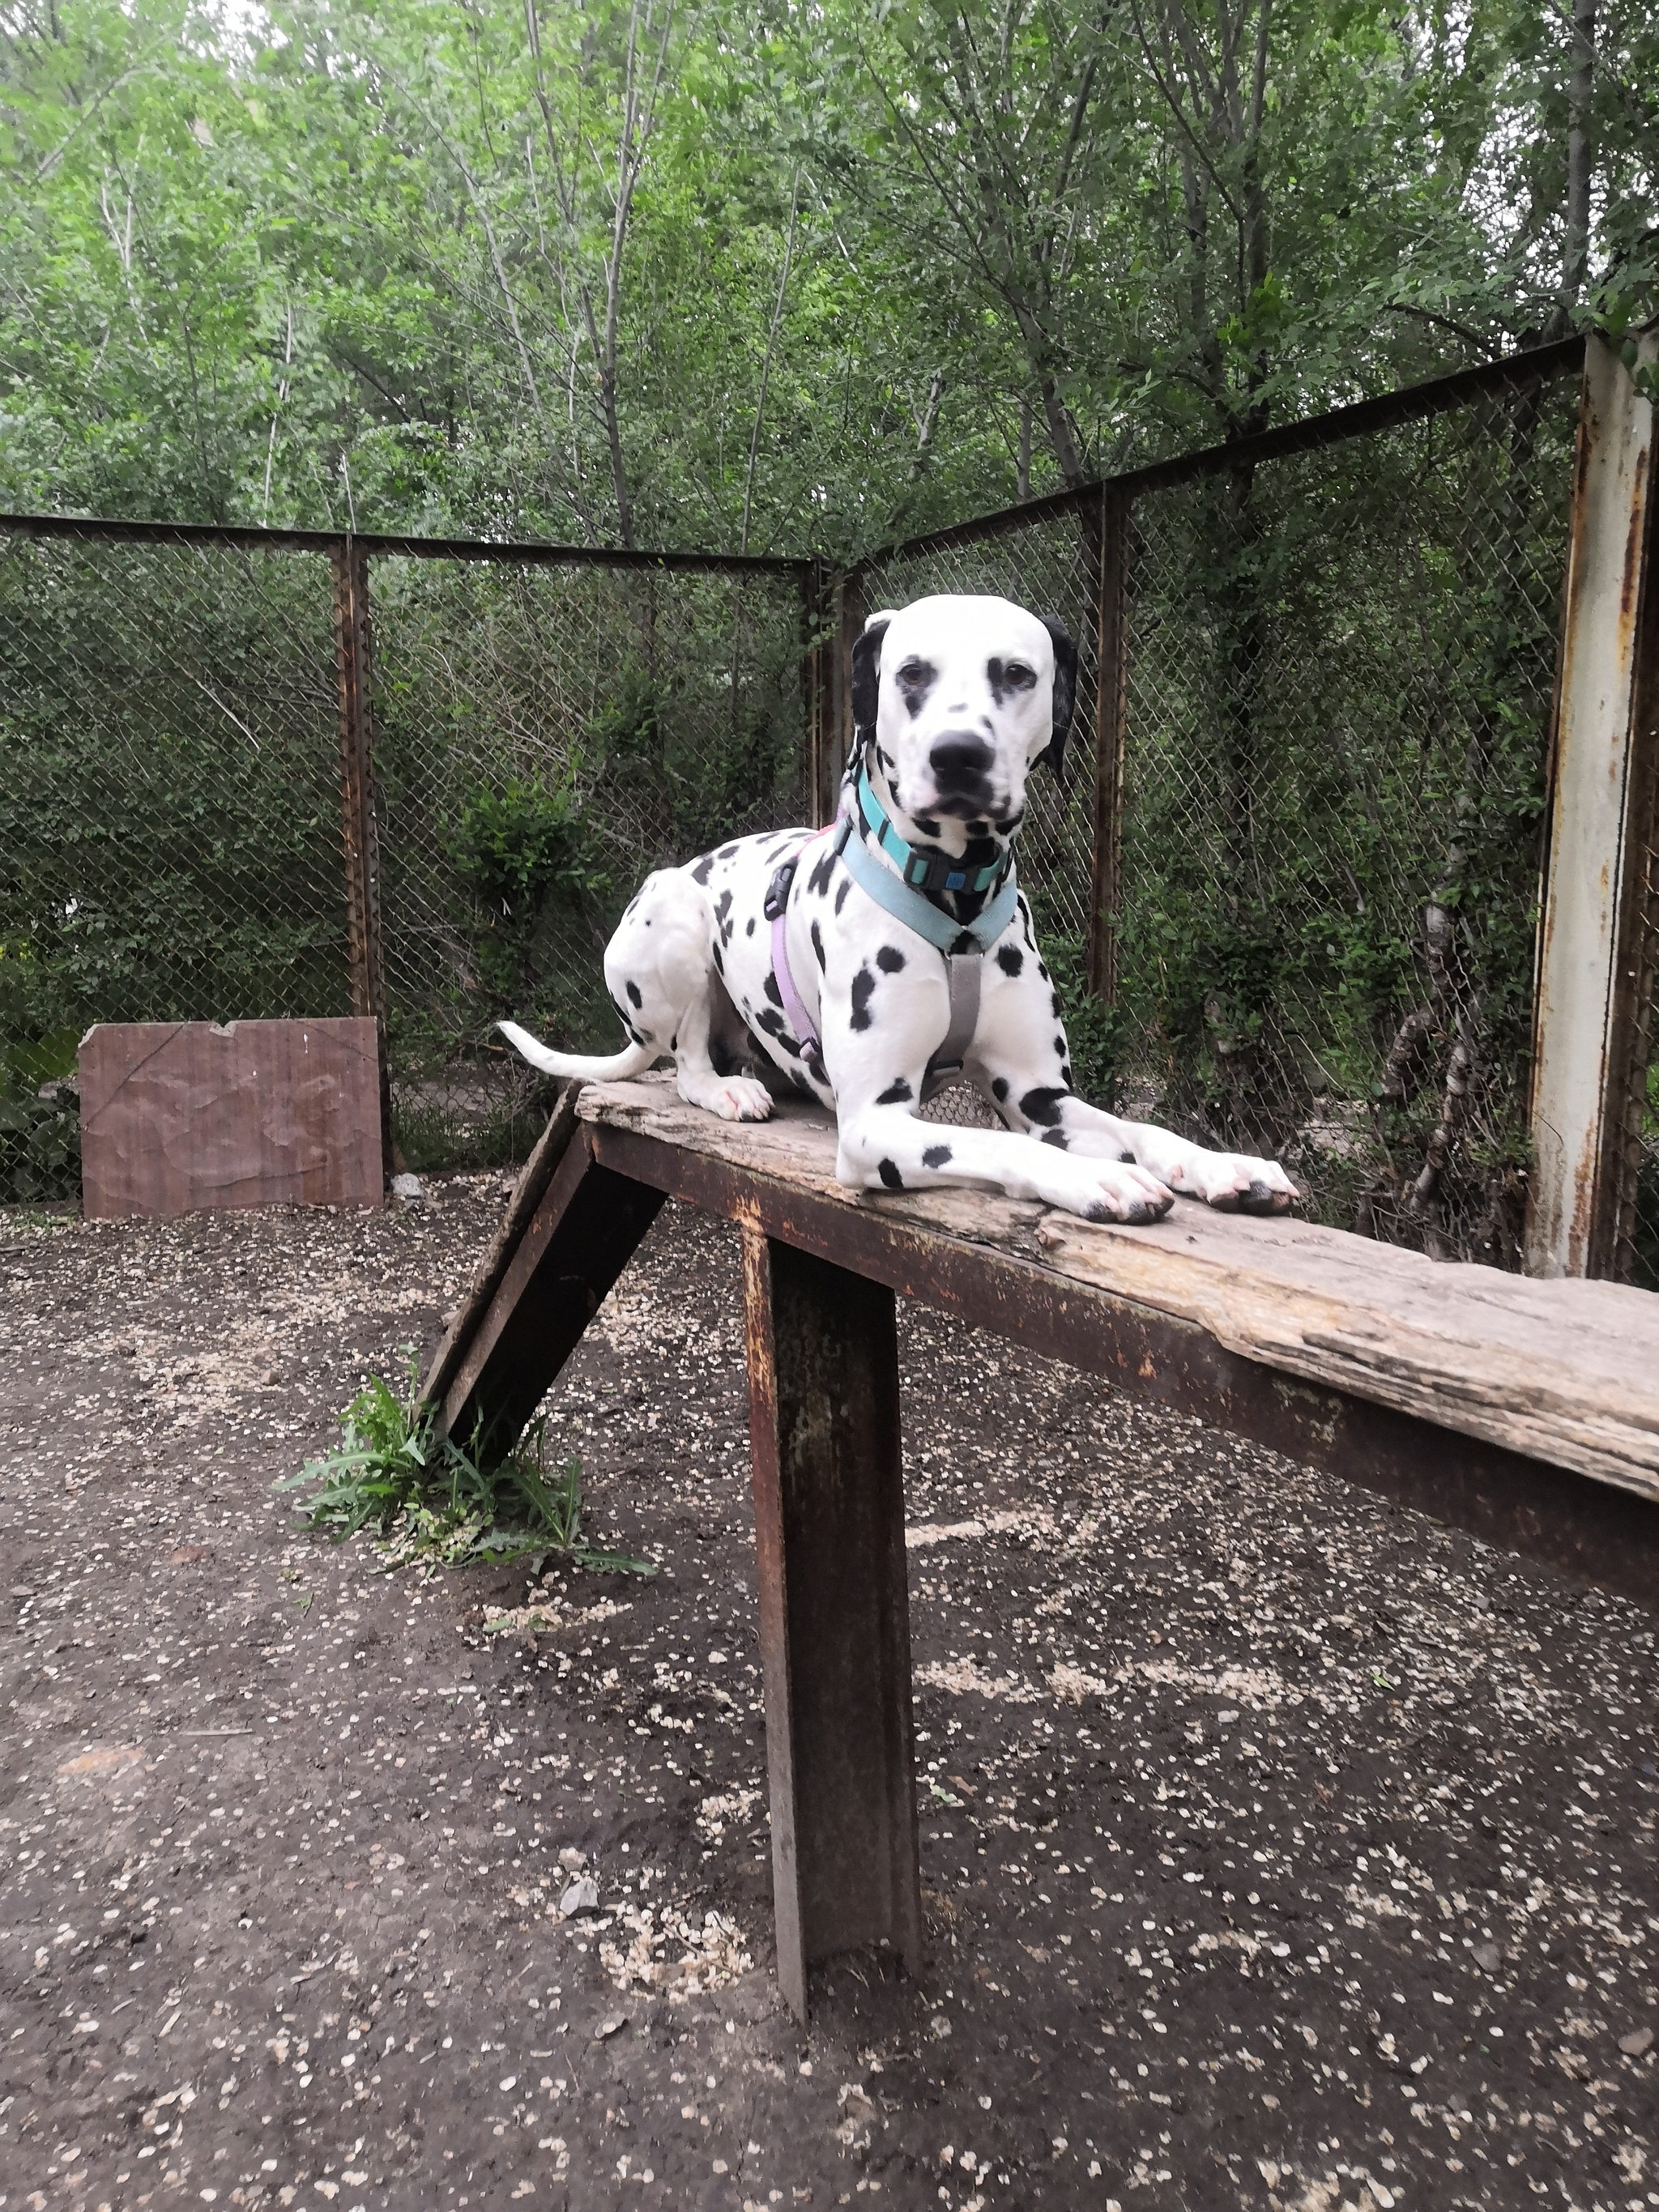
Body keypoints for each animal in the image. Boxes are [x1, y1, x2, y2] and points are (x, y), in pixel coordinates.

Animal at [500, 592, 1309, 1230]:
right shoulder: (874, 1125)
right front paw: (1097, 1175)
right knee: (687, 1062)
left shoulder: (1042, 1095)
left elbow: (1137, 1124)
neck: (957, 897)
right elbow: (1000, 1142)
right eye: (912, 672)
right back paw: (727, 1088)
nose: (958, 755)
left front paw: (1221, 1164)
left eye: (1017, 673)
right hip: (673, 915)